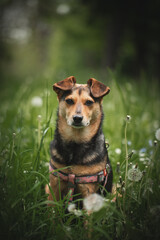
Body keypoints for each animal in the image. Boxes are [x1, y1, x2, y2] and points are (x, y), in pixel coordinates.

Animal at [45, 76, 112, 206]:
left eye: (89, 102)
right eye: (69, 101)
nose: (77, 118)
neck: (75, 143)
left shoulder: (89, 190)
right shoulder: (54, 185)